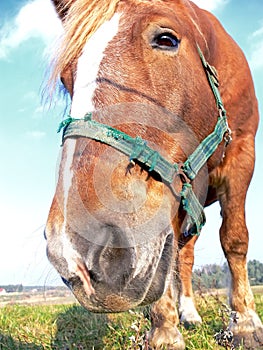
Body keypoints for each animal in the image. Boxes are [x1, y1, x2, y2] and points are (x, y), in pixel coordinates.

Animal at [46, 1, 263, 348]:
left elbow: (235, 238)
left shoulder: (243, 155)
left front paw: (245, 322)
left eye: (166, 39)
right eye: (67, 78)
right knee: (181, 258)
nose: (77, 253)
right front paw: (164, 331)